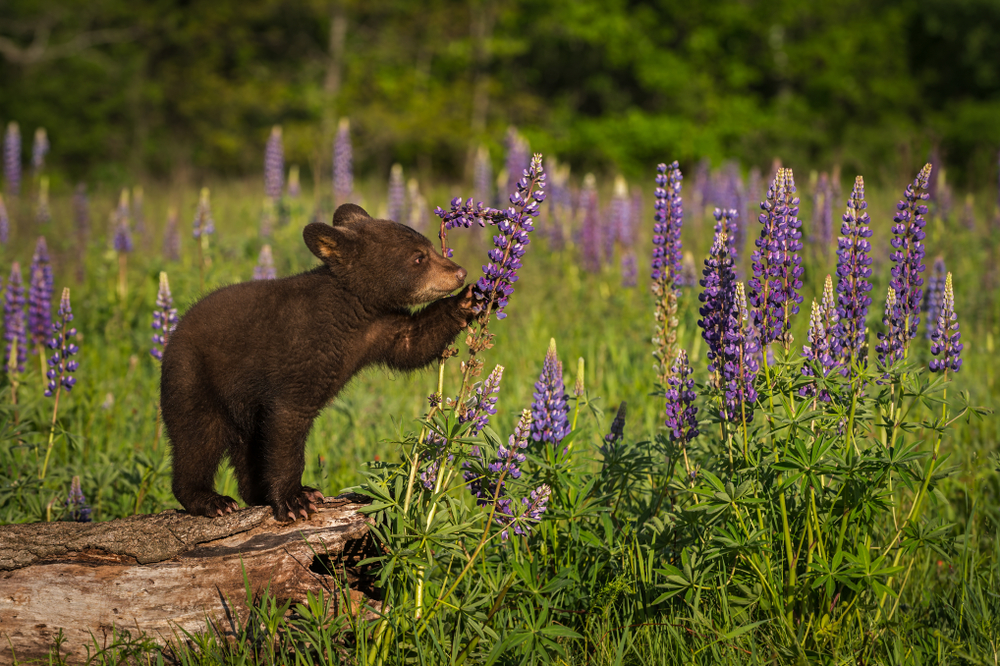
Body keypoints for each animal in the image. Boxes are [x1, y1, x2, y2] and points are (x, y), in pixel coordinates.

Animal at [160, 203, 475, 521]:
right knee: (198, 438)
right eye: (418, 257)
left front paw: (470, 300)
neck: (352, 311)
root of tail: (173, 335)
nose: (460, 272)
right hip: (193, 379)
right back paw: (211, 500)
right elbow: (287, 425)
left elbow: (414, 343)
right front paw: (295, 500)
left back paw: (256, 494)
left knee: (247, 445)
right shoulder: (300, 354)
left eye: (431, 247)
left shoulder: (379, 328)